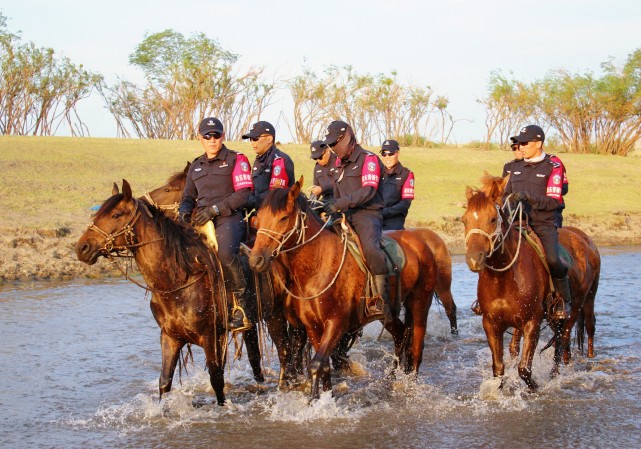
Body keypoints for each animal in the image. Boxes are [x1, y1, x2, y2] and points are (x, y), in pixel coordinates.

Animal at [75, 180, 235, 404]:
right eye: (96, 214)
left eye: (116, 215)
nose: (82, 248)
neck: (178, 281)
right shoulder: (170, 337)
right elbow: (165, 381)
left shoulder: (210, 336)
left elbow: (217, 380)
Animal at [245, 178, 436, 400]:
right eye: (258, 219)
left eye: (283, 218)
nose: (256, 260)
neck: (318, 265)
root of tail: (421, 241)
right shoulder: (312, 326)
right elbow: (324, 366)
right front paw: (327, 397)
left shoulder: (336, 323)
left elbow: (316, 365)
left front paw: (313, 401)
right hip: (387, 313)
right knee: (401, 334)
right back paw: (390, 379)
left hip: (420, 304)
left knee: (416, 348)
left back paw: (411, 385)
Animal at [462, 175, 596, 388]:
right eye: (464, 220)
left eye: (492, 219)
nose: (474, 259)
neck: (503, 279)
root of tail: (585, 242)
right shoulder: (491, 324)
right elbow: (498, 368)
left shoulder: (532, 323)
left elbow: (524, 369)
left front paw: (535, 388)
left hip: (575, 308)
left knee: (562, 341)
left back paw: (555, 375)